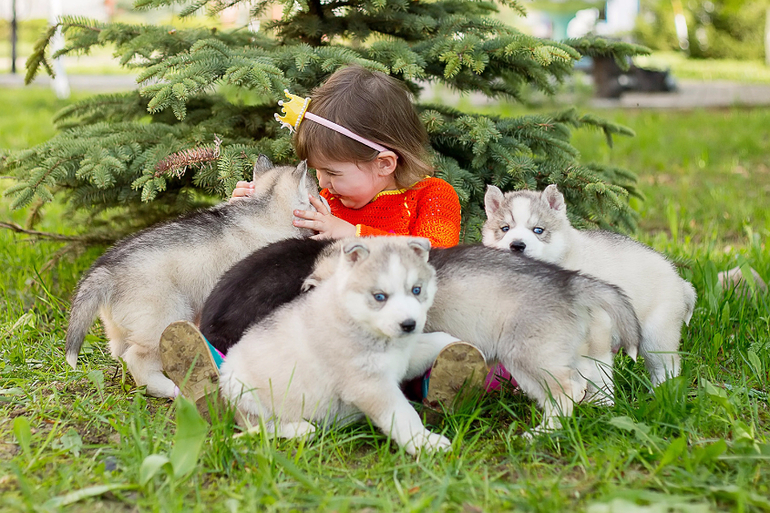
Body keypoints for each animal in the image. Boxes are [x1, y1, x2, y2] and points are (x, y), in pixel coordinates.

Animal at [65, 157, 319, 398]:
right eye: (317, 196)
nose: (325, 202)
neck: (265, 206)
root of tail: (106, 268)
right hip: (167, 315)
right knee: (137, 360)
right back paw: (170, 389)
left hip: (119, 328)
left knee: (121, 354)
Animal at [205, 238, 641, 434]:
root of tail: (571, 282)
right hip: (565, 357)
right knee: (590, 383)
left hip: (529, 356)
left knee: (568, 392)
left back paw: (542, 433)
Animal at [219, 237, 456, 455]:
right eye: (379, 296)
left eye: (416, 290)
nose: (409, 324)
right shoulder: (369, 385)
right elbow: (404, 415)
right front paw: (425, 442)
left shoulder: (403, 357)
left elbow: (436, 340)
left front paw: (457, 347)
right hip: (242, 390)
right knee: (262, 426)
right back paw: (300, 429)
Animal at [482, 184, 697, 386]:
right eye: (505, 228)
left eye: (538, 230)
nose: (517, 245)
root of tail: (679, 280)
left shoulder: (598, 328)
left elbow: (597, 369)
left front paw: (602, 398)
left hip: (656, 334)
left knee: (666, 365)